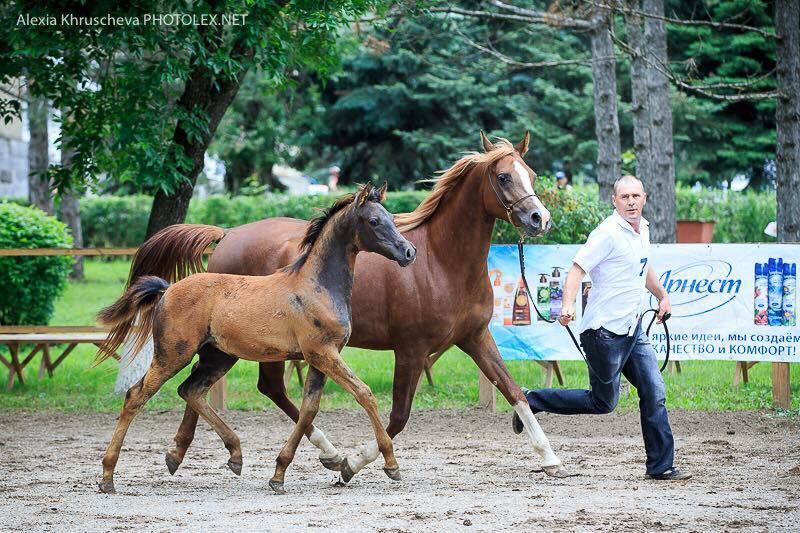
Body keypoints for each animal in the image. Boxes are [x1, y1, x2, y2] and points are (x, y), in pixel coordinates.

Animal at [96, 185, 416, 492]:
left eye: (391, 217)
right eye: (374, 221)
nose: (409, 252)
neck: (318, 286)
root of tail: (167, 289)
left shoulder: (320, 358)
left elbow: (308, 410)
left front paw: (280, 473)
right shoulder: (322, 353)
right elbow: (364, 394)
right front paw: (391, 464)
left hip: (219, 356)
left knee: (191, 390)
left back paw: (231, 454)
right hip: (173, 354)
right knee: (136, 396)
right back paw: (108, 476)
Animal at [123, 132, 564, 478]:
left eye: (532, 175)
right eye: (504, 176)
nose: (539, 218)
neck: (440, 261)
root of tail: (228, 233)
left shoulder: (474, 338)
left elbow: (513, 390)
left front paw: (550, 458)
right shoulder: (411, 350)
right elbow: (398, 416)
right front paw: (357, 462)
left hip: (236, 345)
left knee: (211, 385)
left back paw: (181, 452)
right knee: (256, 388)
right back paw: (326, 454)